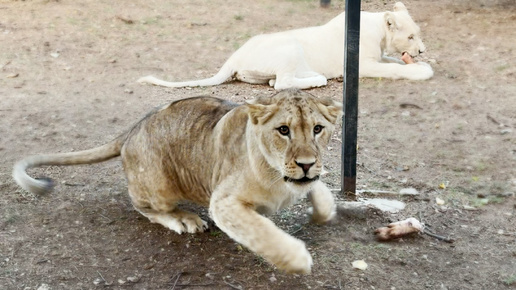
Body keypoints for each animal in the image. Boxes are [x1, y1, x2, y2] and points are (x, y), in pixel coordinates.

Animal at [137, 1, 432, 90]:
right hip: (290, 47)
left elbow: (395, 61)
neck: (379, 31)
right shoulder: (363, 64)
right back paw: (316, 79)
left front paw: (419, 63)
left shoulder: (378, 58)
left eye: (418, 35)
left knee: (273, 82)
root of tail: (233, 58)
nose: (422, 50)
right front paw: (423, 70)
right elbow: (395, 68)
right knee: (282, 84)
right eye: (411, 37)